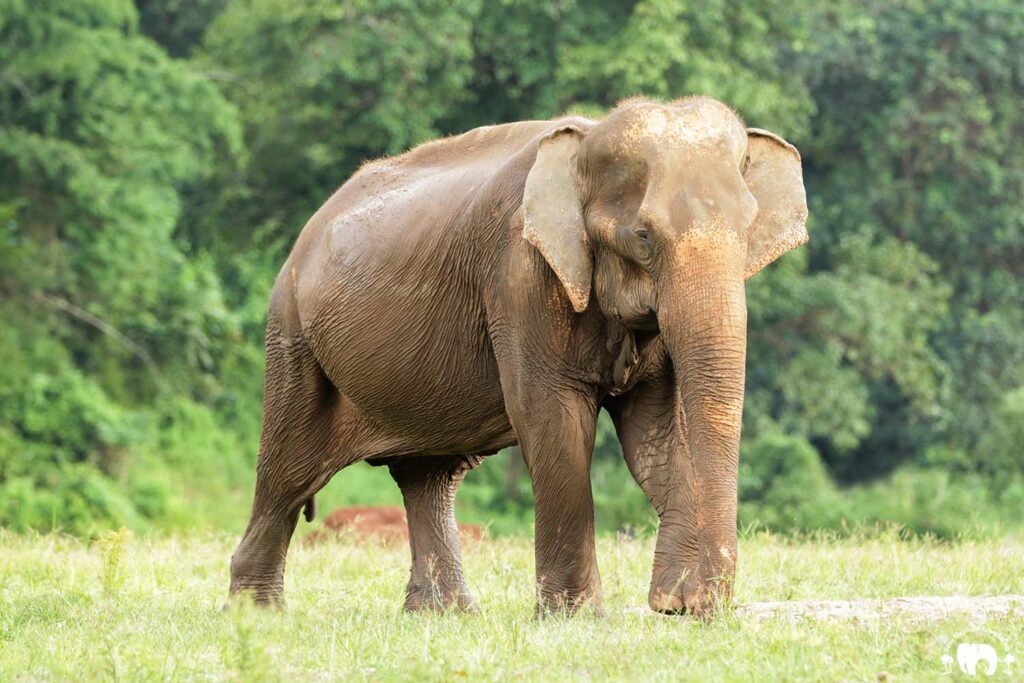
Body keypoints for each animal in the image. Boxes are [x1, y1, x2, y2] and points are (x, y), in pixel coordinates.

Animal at [228, 95, 808, 616]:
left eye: (749, 232)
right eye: (643, 237)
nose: (701, 604)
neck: (586, 139)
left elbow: (658, 434)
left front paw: (680, 604)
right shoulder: (520, 274)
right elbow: (552, 417)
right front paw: (575, 618)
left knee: (428, 477)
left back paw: (443, 615)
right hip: (293, 339)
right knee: (288, 472)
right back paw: (257, 613)